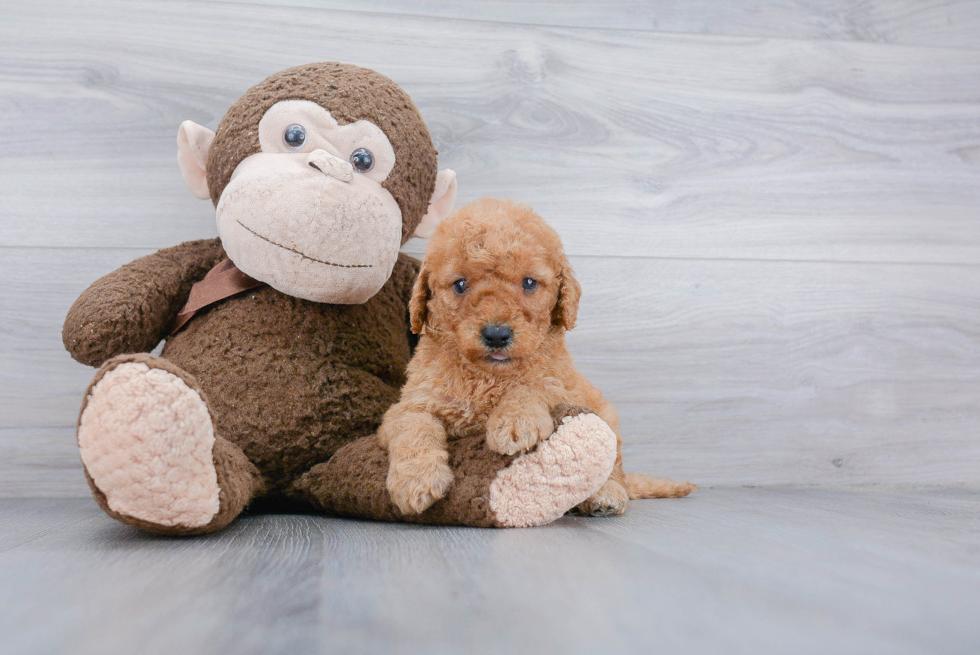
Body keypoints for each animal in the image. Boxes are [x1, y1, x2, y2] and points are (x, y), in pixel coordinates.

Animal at [378, 200, 696, 516]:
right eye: (459, 285)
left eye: (529, 283)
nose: (496, 335)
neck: (488, 376)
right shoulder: (411, 403)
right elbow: (413, 424)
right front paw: (417, 480)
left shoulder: (564, 386)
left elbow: (535, 385)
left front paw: (514, 422)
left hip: (606, 415)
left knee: (614, 466)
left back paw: (606, 494)